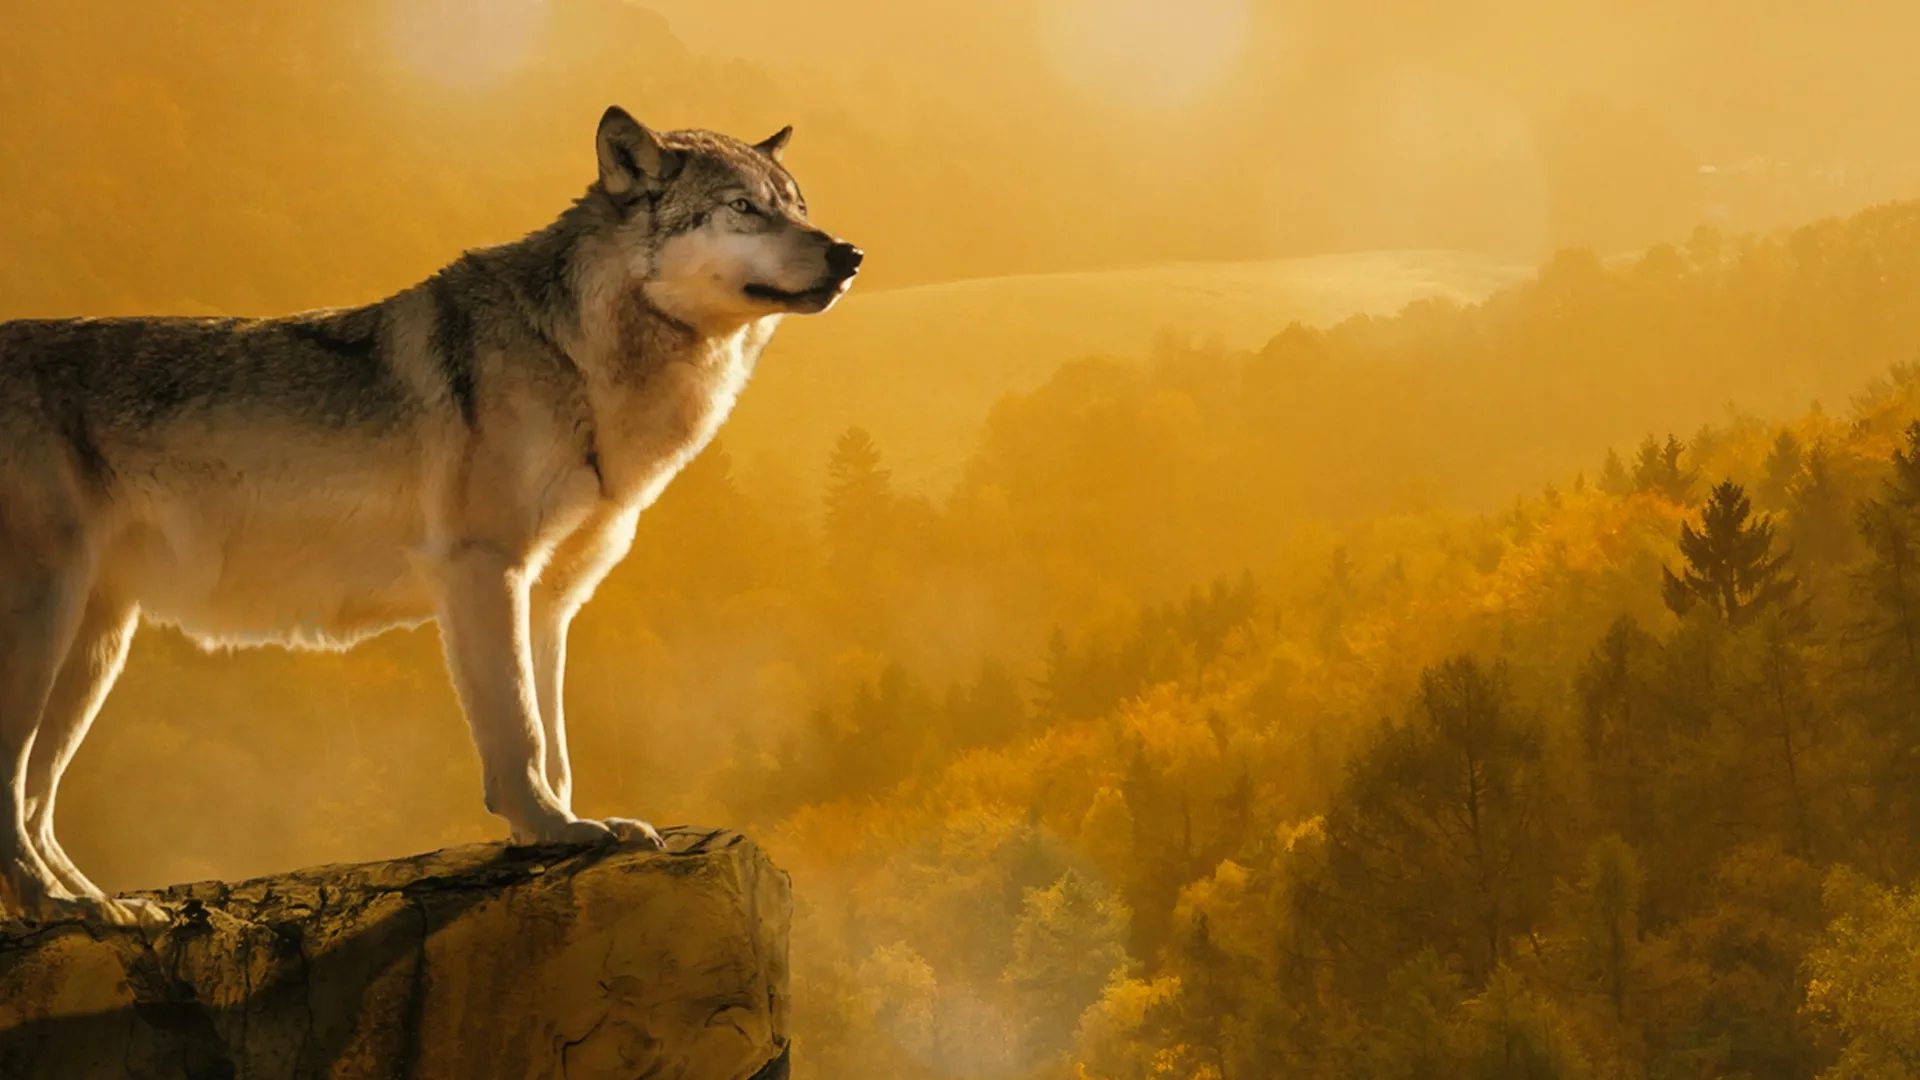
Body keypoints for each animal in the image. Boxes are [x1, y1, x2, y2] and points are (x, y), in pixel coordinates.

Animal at [0, 107, 861, 925]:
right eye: (744, 208)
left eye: (799, 207)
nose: (848, 253)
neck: (578, 357)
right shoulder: (483, 571)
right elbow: (519, 732)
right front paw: (551, 830)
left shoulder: (550, 602)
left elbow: (556, 742)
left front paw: (578, 825)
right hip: (46, 630)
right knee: (12, 794)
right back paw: (58, 904)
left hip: (94, 650)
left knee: (36, 802)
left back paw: (98, 909)